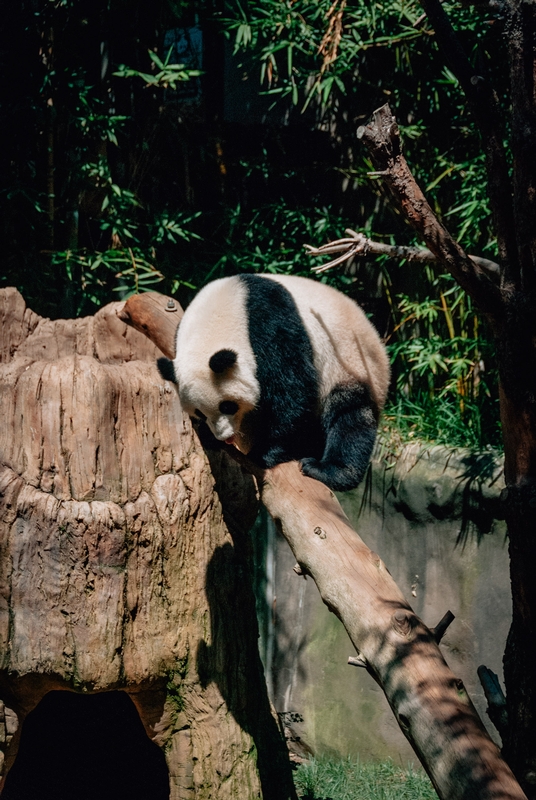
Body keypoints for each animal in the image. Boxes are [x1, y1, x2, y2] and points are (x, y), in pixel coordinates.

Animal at [158, 272, 390, 490]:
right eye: (199, 412)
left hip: (351, 364)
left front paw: (264, 453)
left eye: (227, 406)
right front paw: (207, 435)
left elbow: (292, 390)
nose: (223, 436)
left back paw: (329, 470)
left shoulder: (271, 323)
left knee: (350, 417)